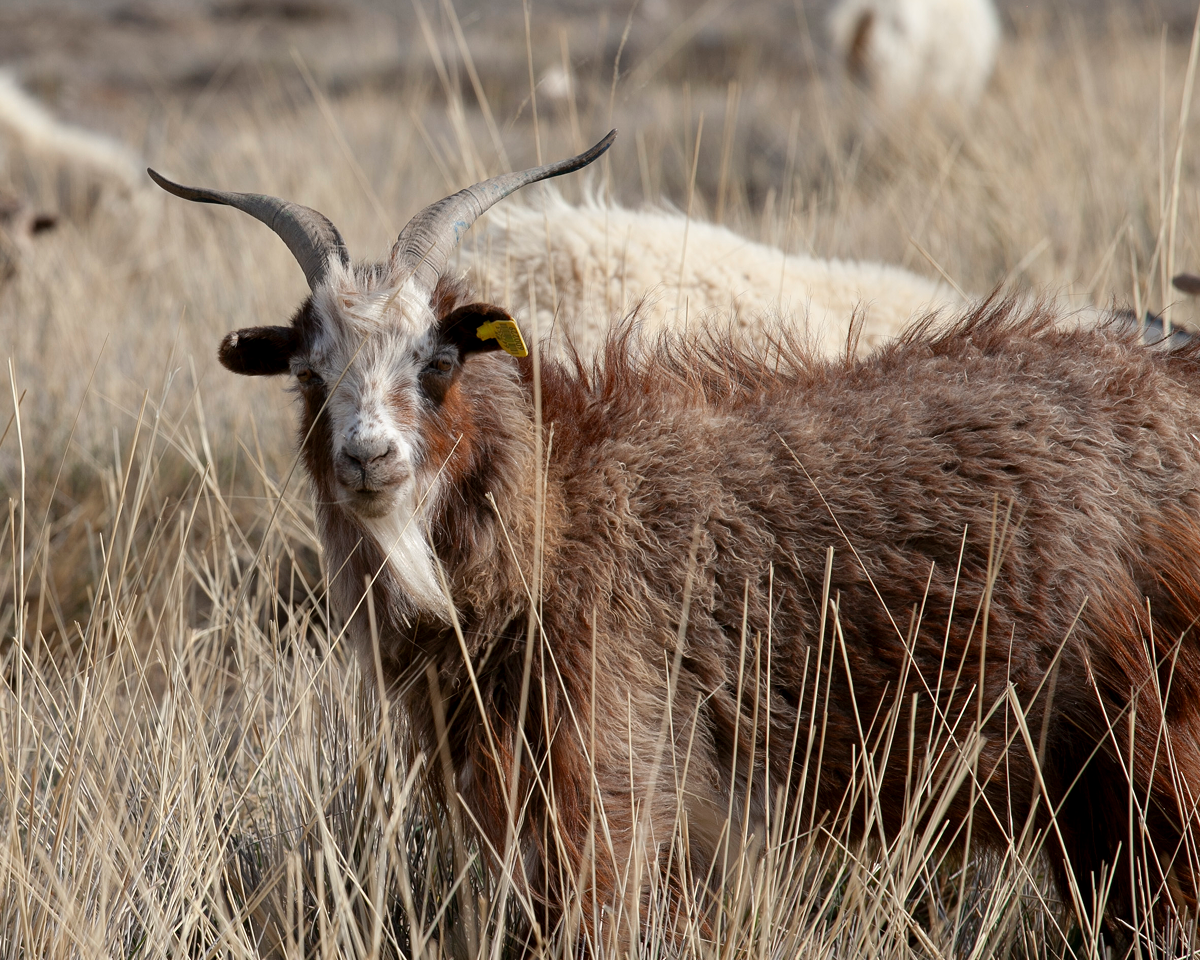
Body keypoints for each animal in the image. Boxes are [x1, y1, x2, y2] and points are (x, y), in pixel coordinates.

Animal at [152, 135, 1200, 947]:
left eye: (440, 359)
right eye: (308, 371)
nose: (369, 456)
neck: (562, 506)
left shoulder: (616, 796)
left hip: (1147, 763)